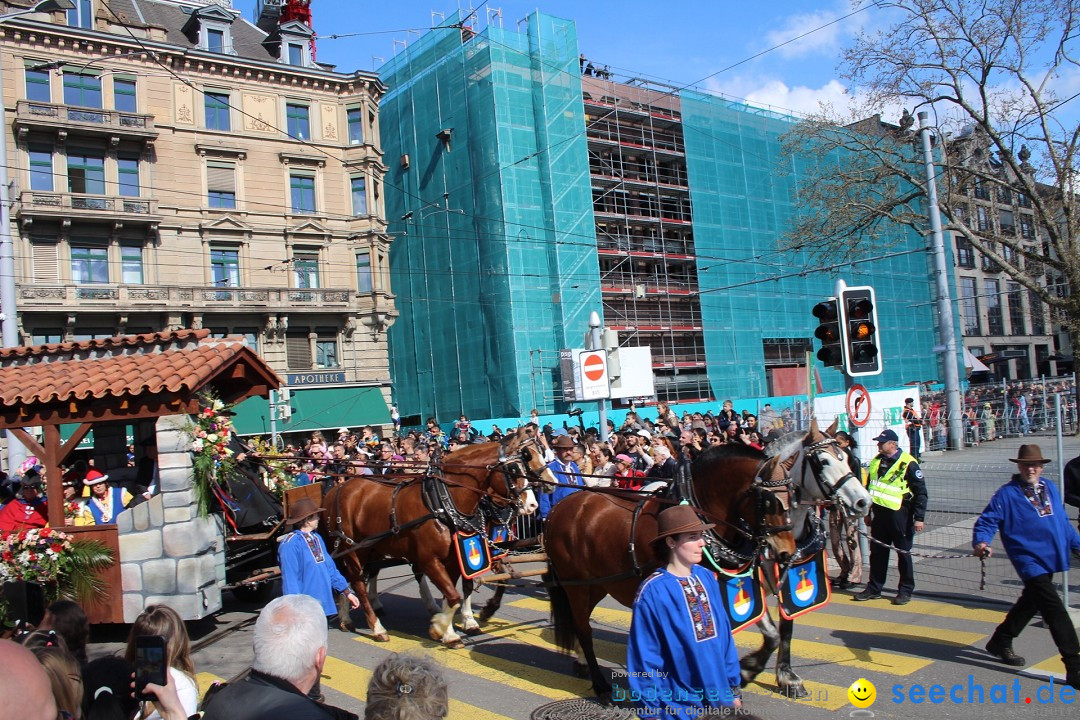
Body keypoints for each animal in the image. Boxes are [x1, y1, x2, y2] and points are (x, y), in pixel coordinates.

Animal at [321, 427, 552, 647]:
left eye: (531, 458)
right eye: (514, 468)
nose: (533, 504)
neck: (443, 502)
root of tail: (338, 488)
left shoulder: (459, 556)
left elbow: (455, 594)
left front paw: (453, 627)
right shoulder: (431, 559)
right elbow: (454, 594)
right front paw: (443, 628)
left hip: (374, 547)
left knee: (364, 573)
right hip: (353, 549)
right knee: (356, 581)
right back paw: (374, 626)